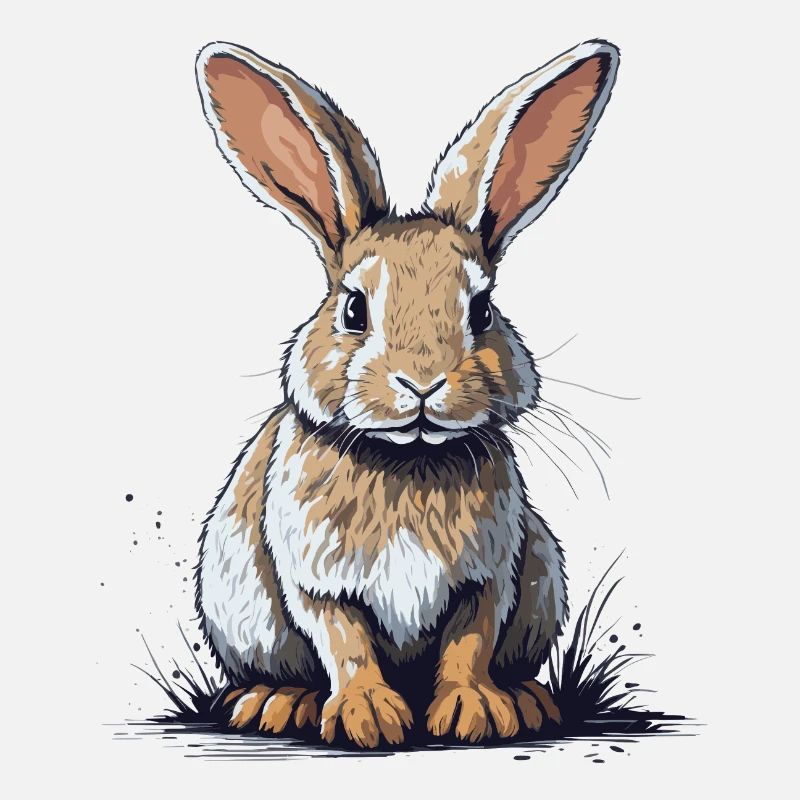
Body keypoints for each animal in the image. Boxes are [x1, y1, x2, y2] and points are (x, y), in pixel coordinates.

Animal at [194, 38, 619, 747]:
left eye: (482, 310)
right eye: (353, 309)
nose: (422, 383)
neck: (408, 460)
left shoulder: (490, 577)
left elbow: (468, 643)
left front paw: (476, 712)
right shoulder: (318, 582)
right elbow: (346, 643)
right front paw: (367, 717)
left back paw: (529, 698)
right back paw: (275, 702)